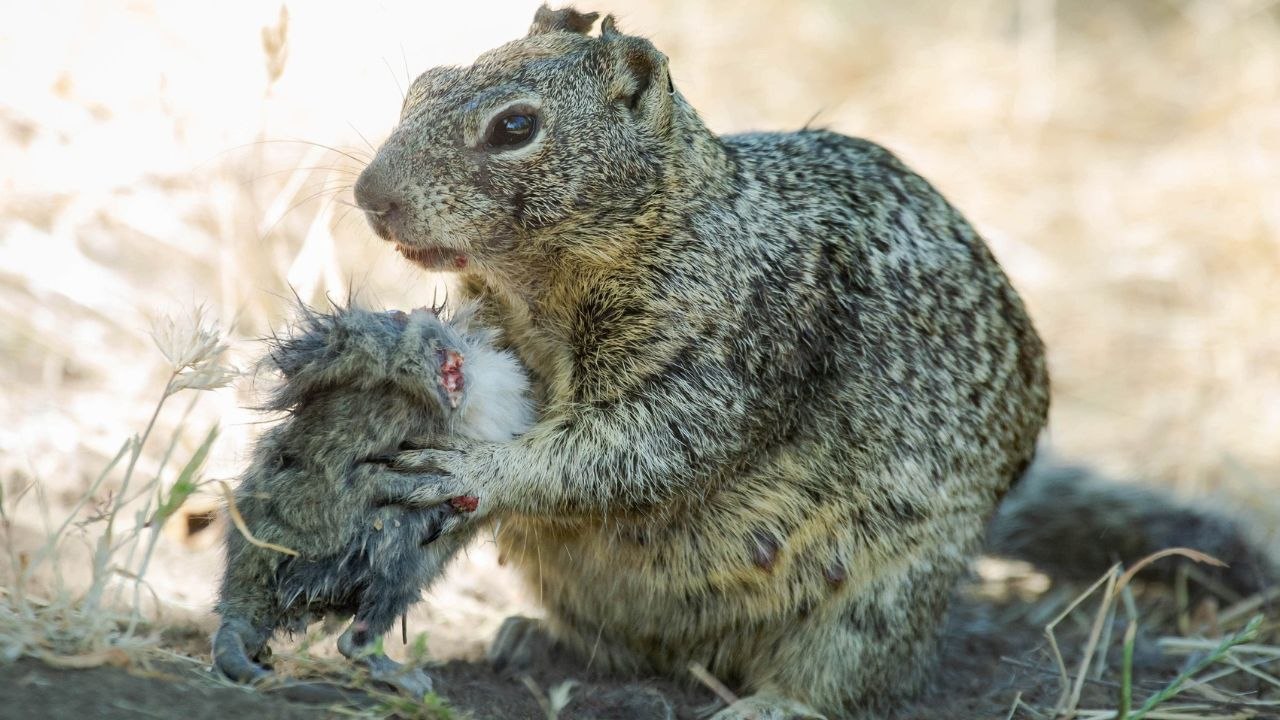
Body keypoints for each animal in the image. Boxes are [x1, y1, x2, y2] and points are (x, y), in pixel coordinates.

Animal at [350, 6, 1273, 718]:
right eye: (421, 86)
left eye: (515, 127)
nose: (369, 197)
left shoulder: (735, 350)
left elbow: (635, 449)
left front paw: (477, 466)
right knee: (629, 650)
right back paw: (534, 639)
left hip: (879, 599)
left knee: (848, 678)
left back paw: (773, 703)